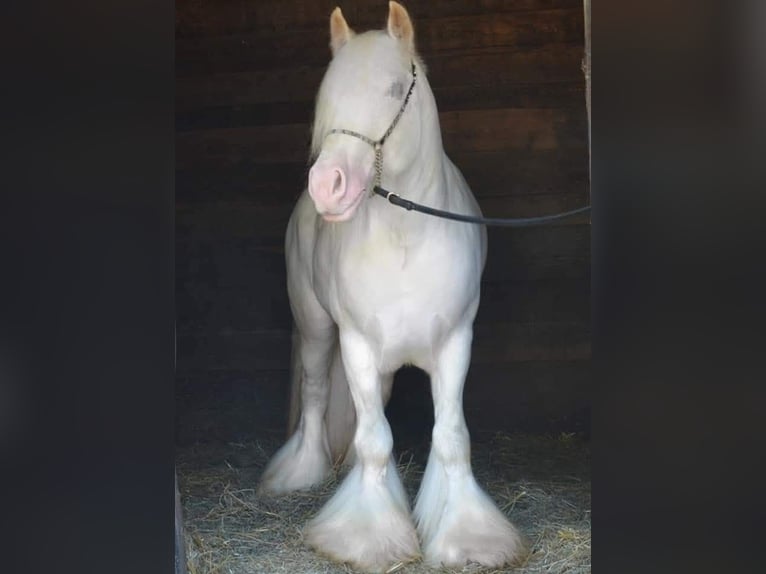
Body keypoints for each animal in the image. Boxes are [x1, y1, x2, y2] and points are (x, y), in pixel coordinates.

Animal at [258, 2, 528, 572]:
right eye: (329, 94)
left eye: (391, 89)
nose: (327, 186)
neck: (406, 236)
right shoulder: (356, 345)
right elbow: (374, 442)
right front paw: (365, 538)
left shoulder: (455, 343)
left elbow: (450, 438)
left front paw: (469, 538)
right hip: (316, 329)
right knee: (315, 396)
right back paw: (301, 473)